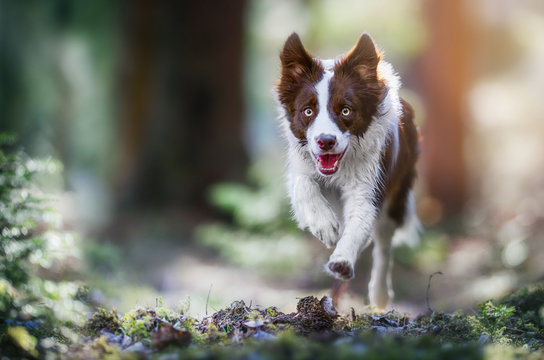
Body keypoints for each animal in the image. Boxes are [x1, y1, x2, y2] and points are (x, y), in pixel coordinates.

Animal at [276, 33, 420, 310]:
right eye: (308, 111)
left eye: (345, 110)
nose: (326, 141)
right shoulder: (300, 168)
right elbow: (304, 185)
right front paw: (324, 225)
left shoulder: (369, 187)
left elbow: (359, 222)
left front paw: (342, 261)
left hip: (396, 196)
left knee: (384, 244)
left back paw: (380, 295)